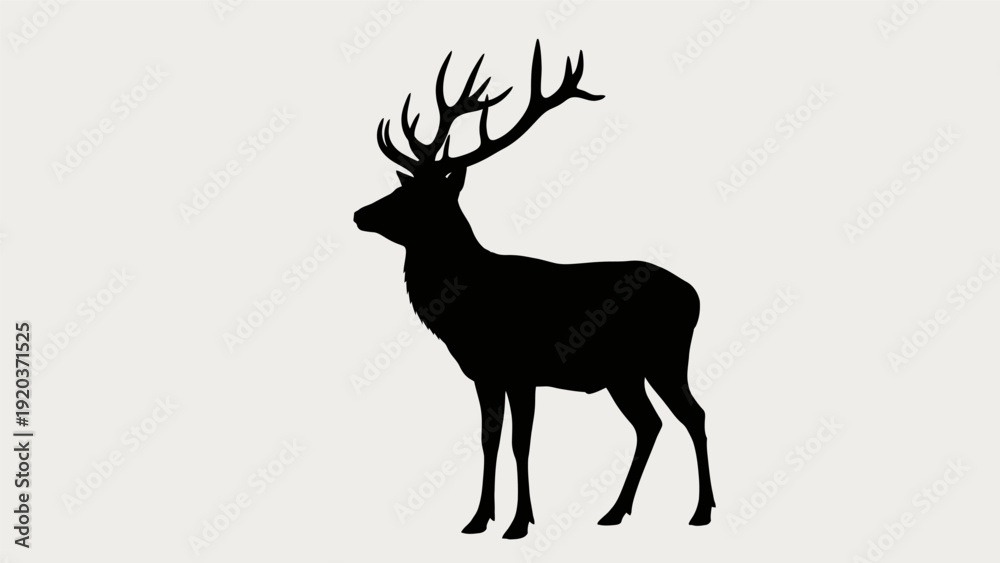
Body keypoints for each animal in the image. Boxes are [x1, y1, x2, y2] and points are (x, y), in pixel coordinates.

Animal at [354, 40, 714, 539]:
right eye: (400, 188)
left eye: (420, 198)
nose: (359, 214)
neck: (465, 310)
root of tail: (695, 295)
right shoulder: (485, 373)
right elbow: (489, 440)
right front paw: (478, 519)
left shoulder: (522, 369)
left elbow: (520, 443)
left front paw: (519, 522)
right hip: (625, 373)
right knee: (651, 424)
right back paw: (615, 511)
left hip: (665, 356)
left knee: (693, 415)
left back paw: (701, 511)